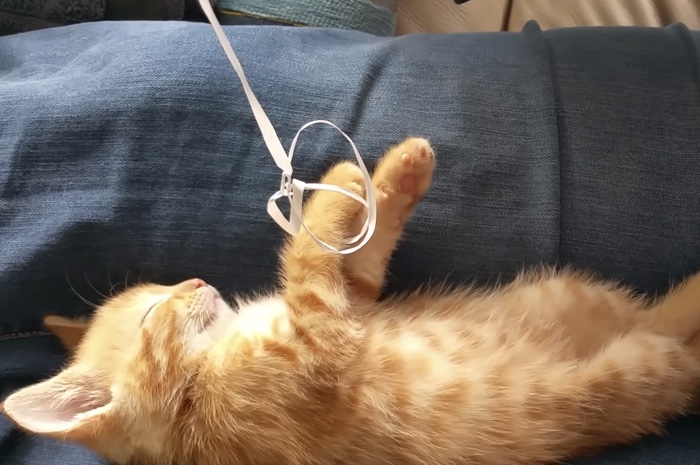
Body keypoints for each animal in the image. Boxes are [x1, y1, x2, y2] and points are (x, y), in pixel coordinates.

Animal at [4, 137, 700, 465]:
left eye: (161, 289)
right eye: (155, 313)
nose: (198, 284)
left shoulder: (357, 303)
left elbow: (358, 261)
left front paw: (388, 176)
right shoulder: (317, 346)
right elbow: (307, 263)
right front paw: (333, 185)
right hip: (643, 369)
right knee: (677, 344)